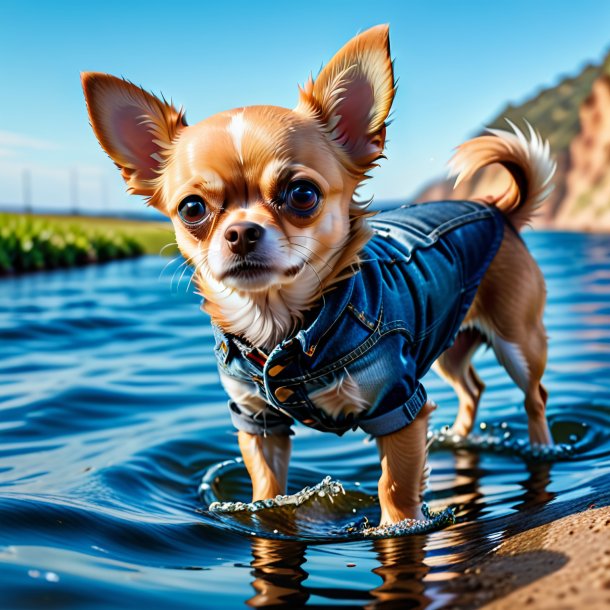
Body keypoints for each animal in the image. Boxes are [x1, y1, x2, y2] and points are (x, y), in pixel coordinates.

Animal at [83, 25, 552, 524]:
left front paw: (399, 526)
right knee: (473, 387)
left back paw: (543, 449)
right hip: (449, 341)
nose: (241, 232)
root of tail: (497, 207)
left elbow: (395, 486)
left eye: (302, 194)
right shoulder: (257, 420)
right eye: (192, 209)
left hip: (517, 341)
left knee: (534, 396)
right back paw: (462, 436)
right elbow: (267, 486)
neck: (279, 324)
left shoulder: (400, 403)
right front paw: (265, 513)